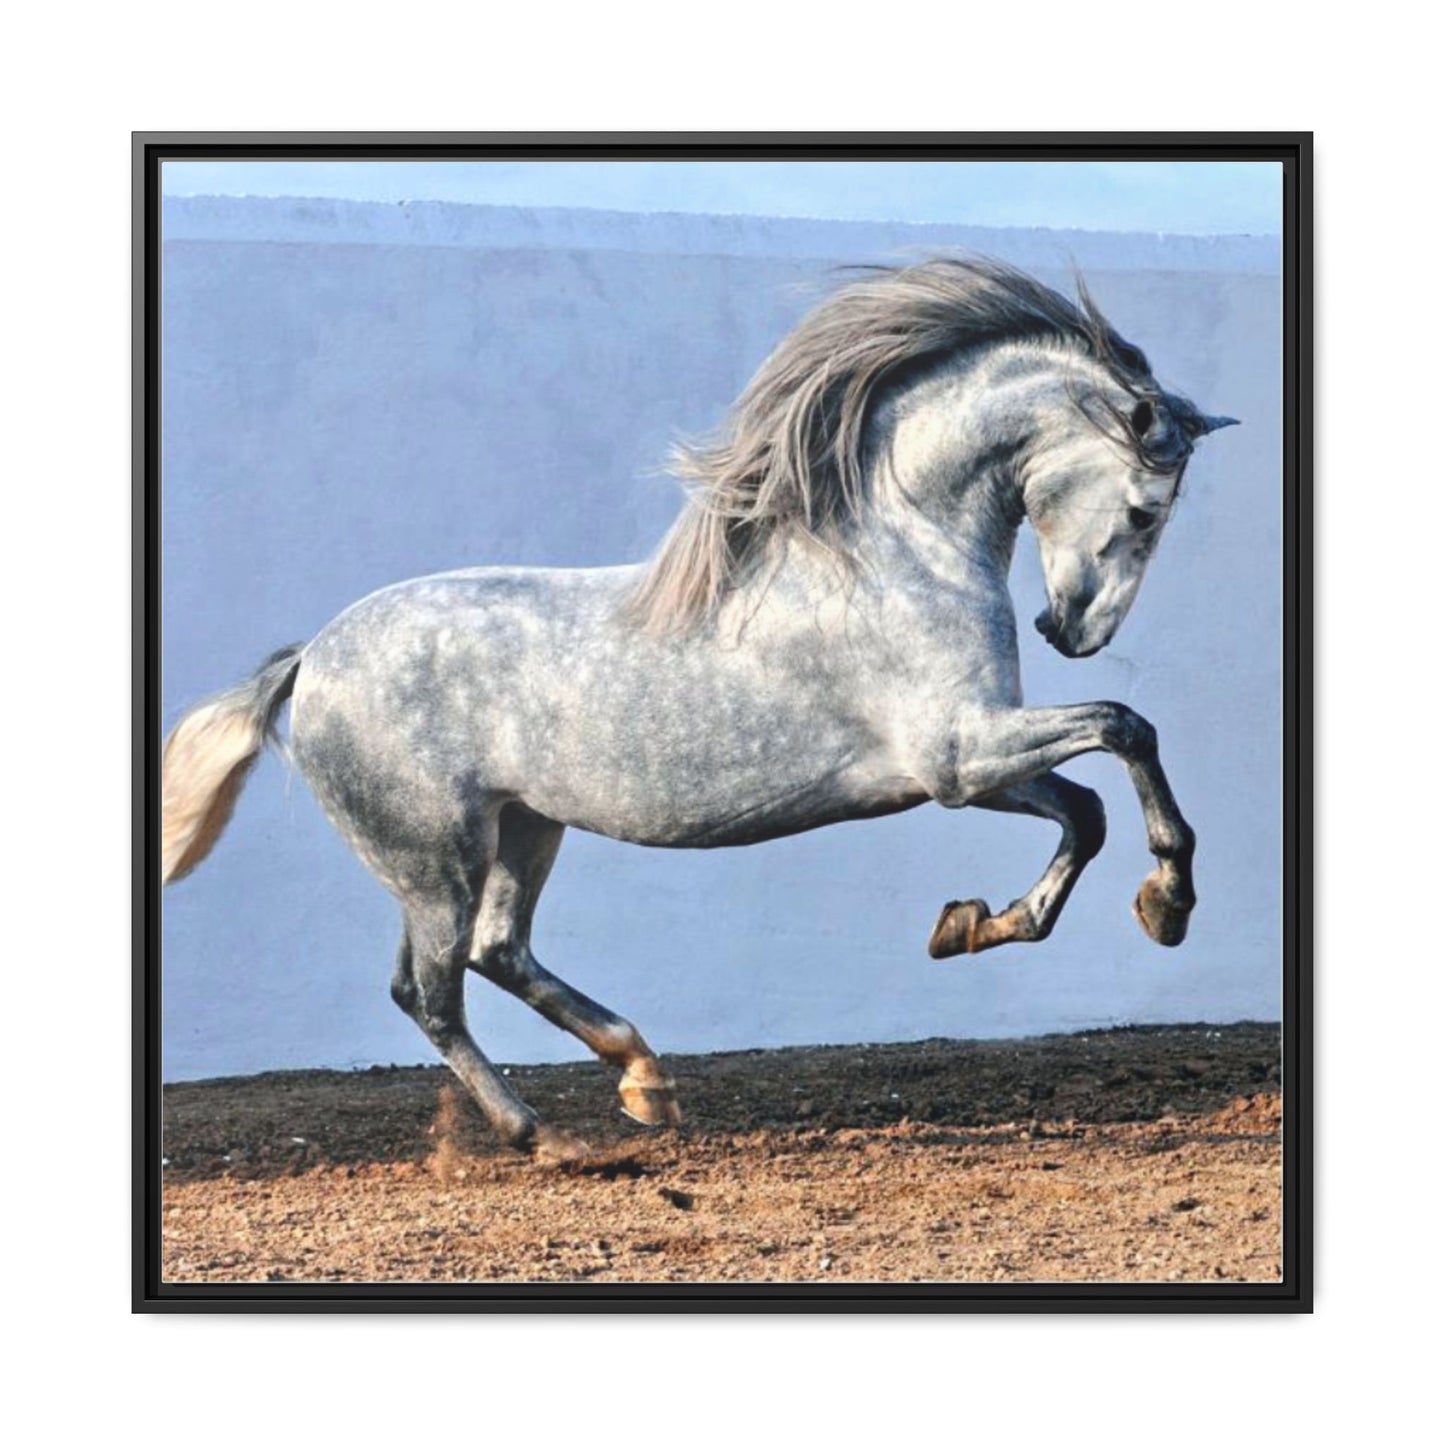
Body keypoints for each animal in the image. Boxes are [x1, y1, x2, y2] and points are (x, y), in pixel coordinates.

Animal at [160, 257, 1237, 1159]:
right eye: (1143, 510)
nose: (1070, 630)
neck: (894, 552)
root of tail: (309, 661)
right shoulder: (956, 754)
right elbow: (1124, 727)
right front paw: (1168, 903)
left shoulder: (956, 768)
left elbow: (1085, 808)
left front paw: (975, 923)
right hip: (432, 858)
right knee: (429, 989)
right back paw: (539, 1132)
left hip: (522, 827)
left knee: (497, 951)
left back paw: (643, 1079)